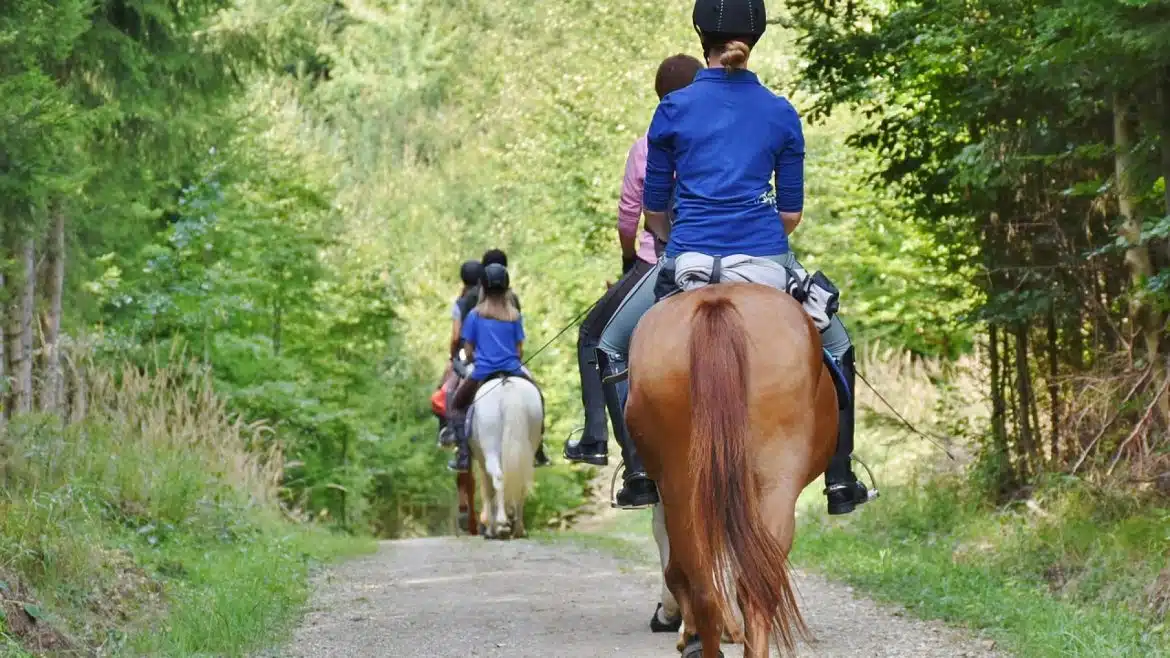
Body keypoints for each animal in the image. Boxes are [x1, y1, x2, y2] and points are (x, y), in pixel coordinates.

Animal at [467, 374, 540, 538]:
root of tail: (506, 384)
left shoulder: (481, 463)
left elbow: (487, 491)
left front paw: (489, 527)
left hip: (490, 447)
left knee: (498, 478)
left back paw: (501, 524)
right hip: (529, 444)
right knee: (521, 483)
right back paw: (518, 528)